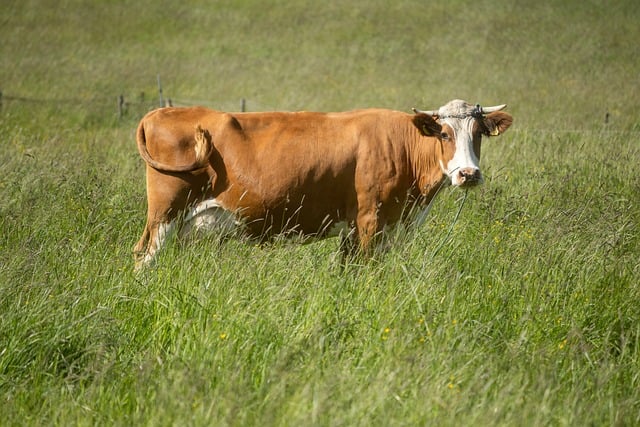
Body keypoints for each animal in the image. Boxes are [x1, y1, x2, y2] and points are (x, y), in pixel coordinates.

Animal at [133, 99, 512, 268]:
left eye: (478, 134)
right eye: (445, 134)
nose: (468, 174)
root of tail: (162, 111)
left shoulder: (372, 229)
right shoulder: (369, 222)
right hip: (164, 214)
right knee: (144, 256)